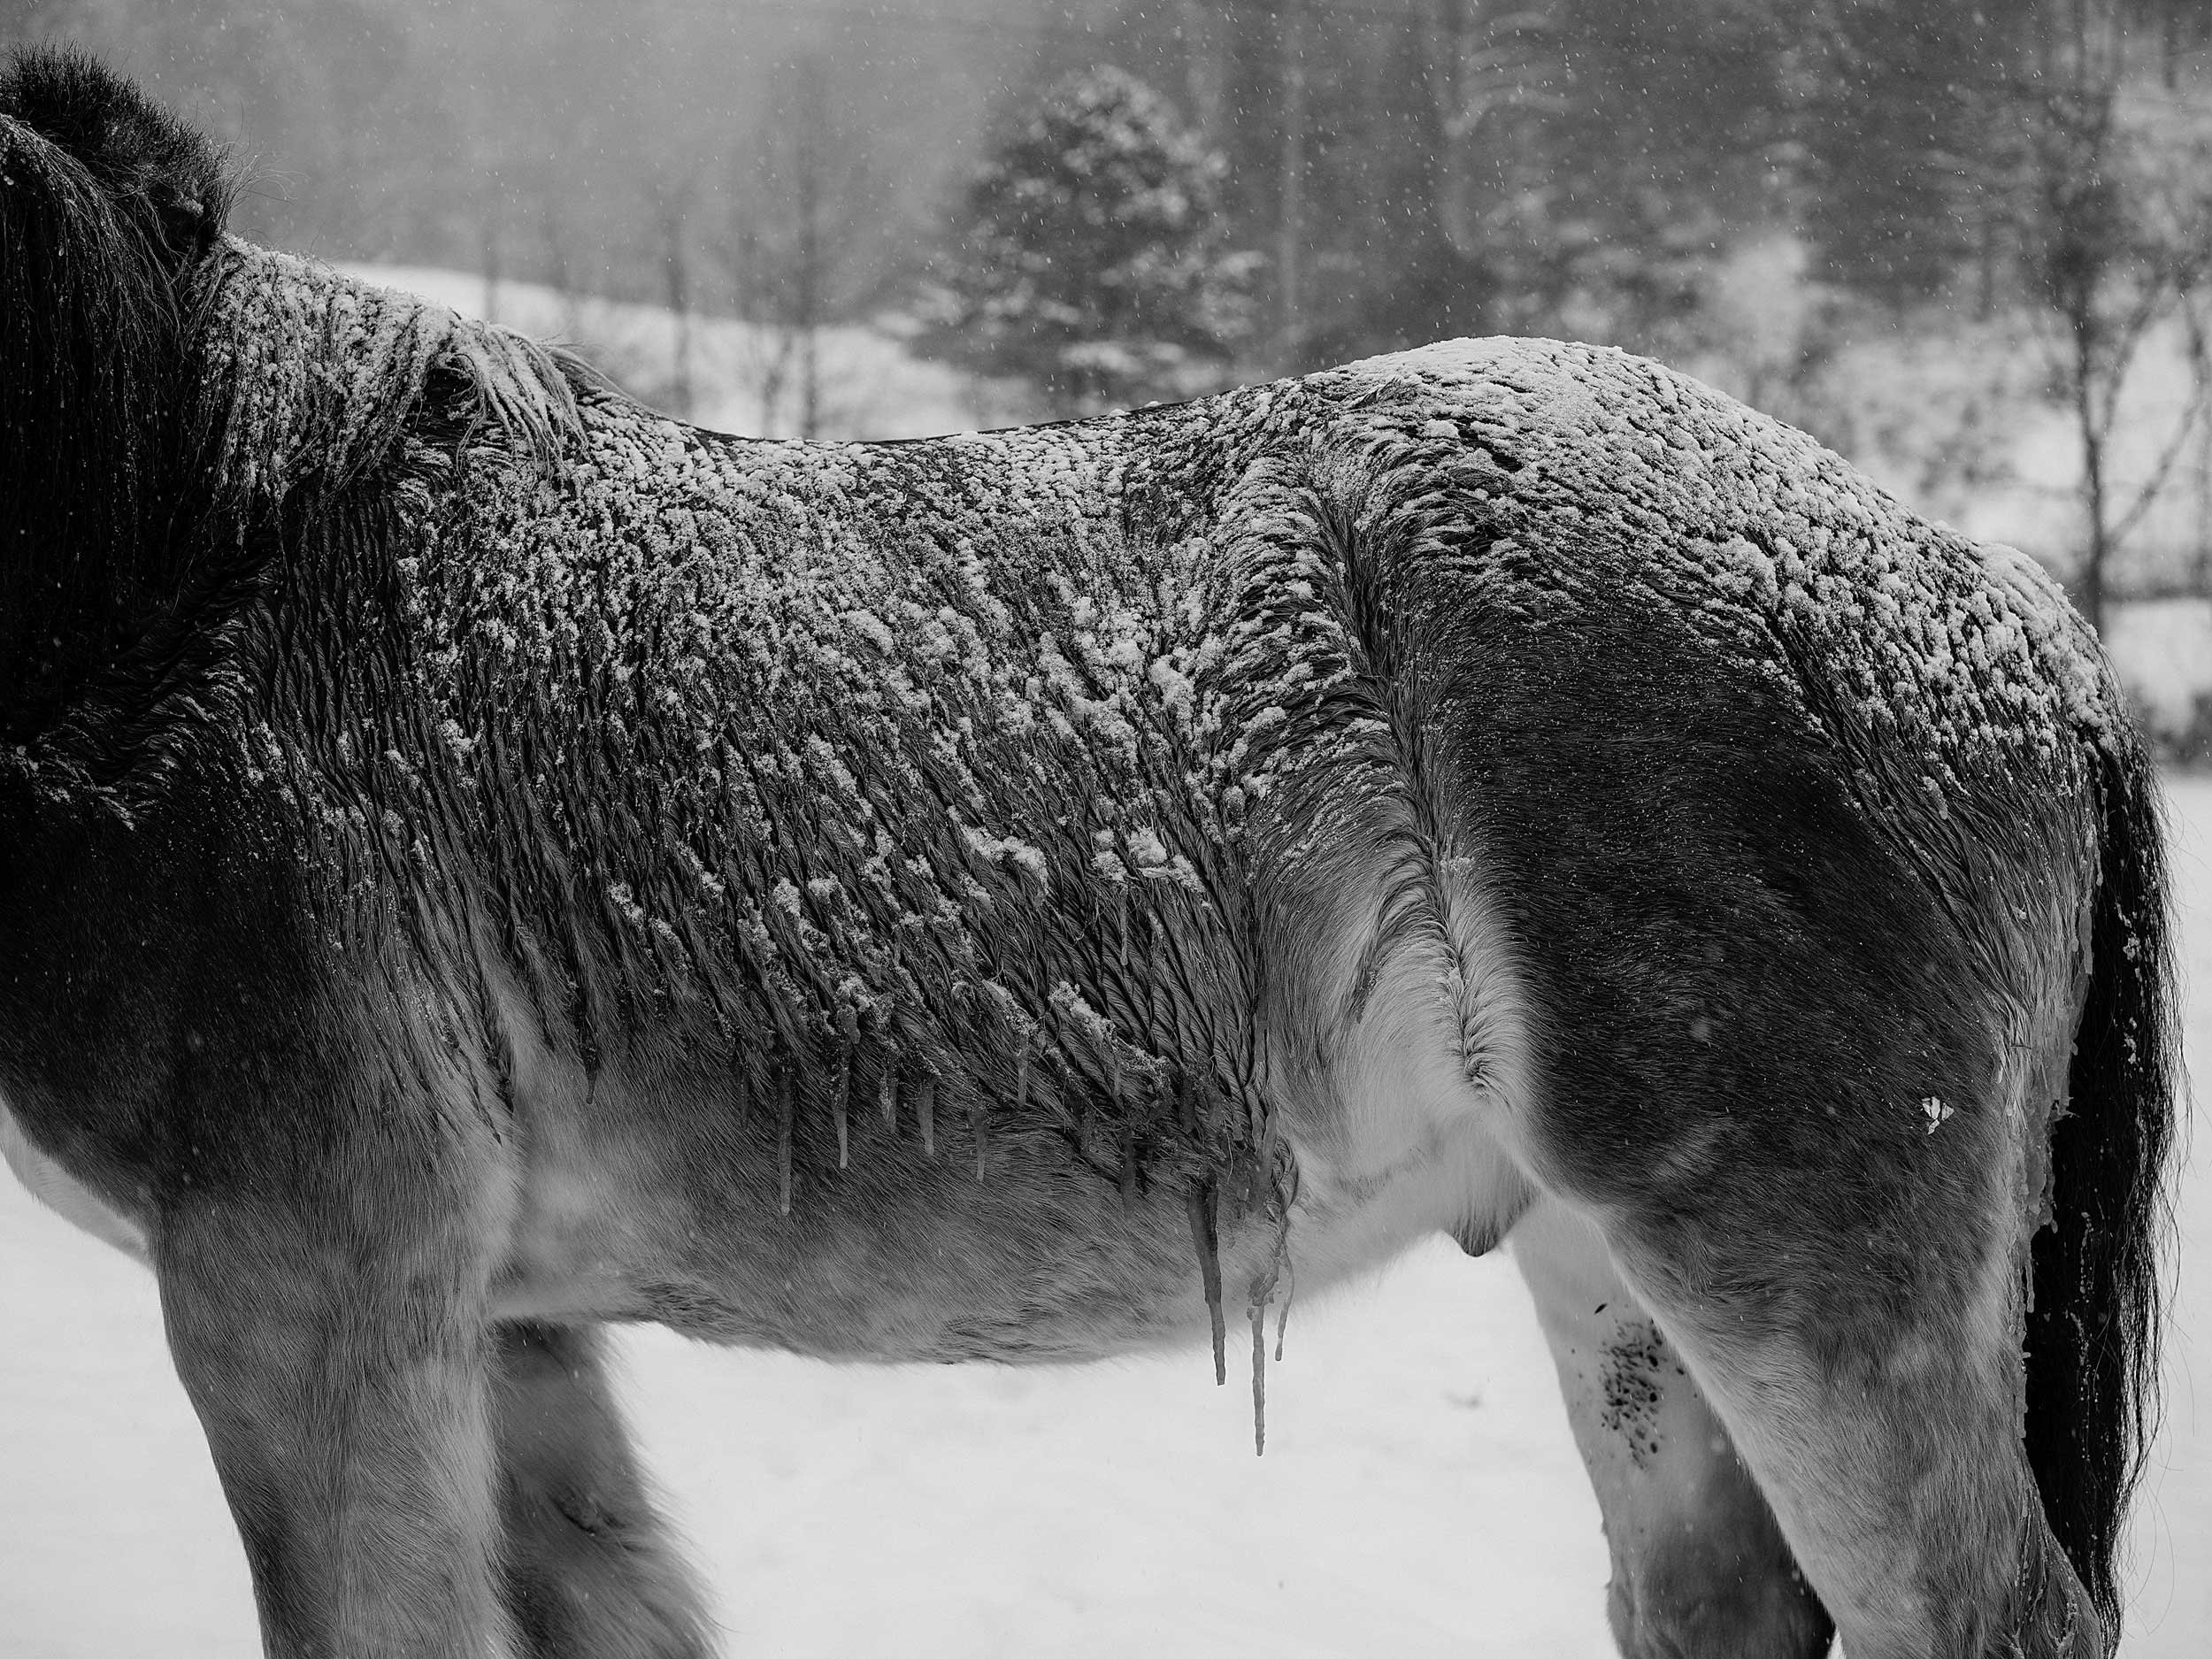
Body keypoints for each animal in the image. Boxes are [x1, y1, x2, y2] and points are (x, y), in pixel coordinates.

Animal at [0, 49, 2178, 1659]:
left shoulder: (305, 1303)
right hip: (1614, 1283)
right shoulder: (501, 1328)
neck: (197, 581)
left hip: (1804, 1301)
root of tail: (2011, 614)